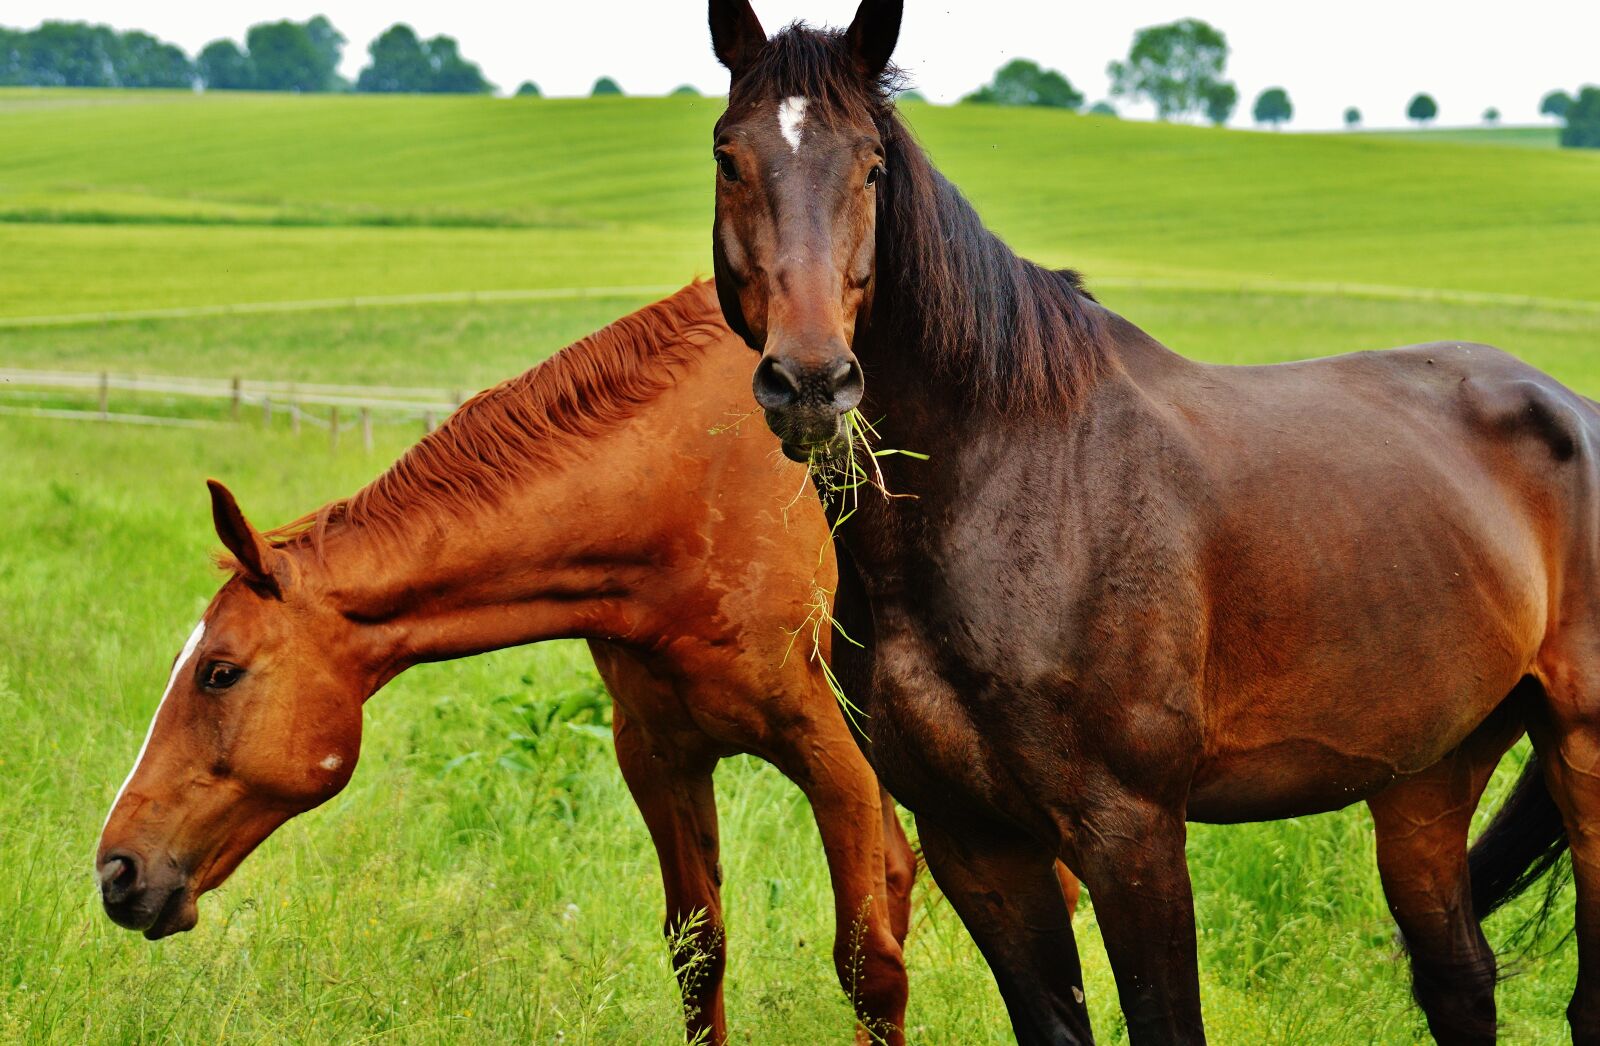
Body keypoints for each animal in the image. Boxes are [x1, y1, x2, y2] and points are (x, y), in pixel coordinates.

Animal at [94, 282, 926, 1045]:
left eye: (220, 672)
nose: (115, 871)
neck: (695, 490)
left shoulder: (836, 761)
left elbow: (870, 969)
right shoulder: (660, 757)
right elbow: (699, 955)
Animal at [705, 2, 1593, 1042]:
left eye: (872, 165)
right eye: (729, 157)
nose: (810, 380)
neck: (1007, 488)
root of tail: (1572, 410)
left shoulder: (1130, 832)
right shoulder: (972, 840)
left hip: (1581, 750)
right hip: (1429, 773)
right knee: (1459, 977)